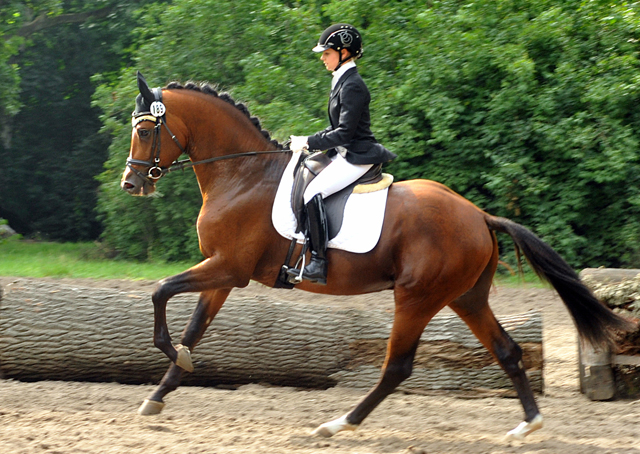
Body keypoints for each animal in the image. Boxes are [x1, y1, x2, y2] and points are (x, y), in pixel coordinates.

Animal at [121, 73, 636, 440]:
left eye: (146, 130)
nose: (131, 184)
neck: (241, 175)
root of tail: (478, 215)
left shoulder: (228, 268)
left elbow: (159, 291)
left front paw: (174, 356)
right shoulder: (223, 274)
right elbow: (193, 328)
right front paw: (162, 390)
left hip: (417, 296)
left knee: (397, 367)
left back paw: (338, 424)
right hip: (466, 296)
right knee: (507, 351)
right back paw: (527, 425)